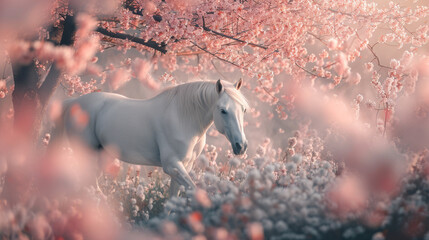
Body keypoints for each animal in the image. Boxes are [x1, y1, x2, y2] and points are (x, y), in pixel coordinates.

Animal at [54, 79, 247, 197]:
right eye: (223, 110)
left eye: (243, 109)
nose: (241, 146)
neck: (183, 119)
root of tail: (73, 103)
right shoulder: (172, 166)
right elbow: (193, 189)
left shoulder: (184, 166)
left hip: (102, 155)